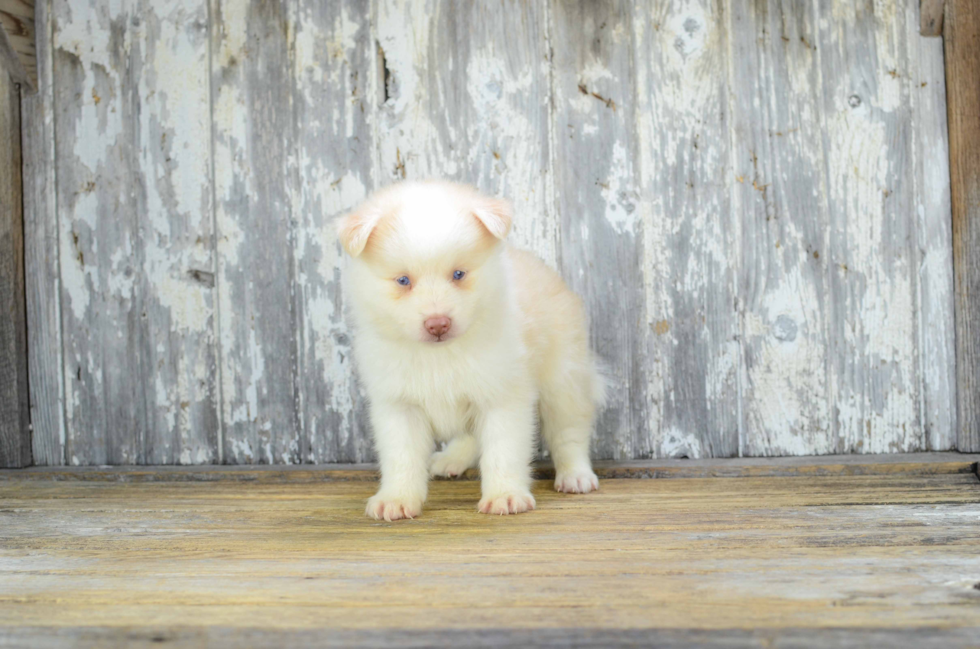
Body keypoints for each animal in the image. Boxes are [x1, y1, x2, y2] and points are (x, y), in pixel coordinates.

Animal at [338, 180, 604, 520]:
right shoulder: (398, 405)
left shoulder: (502, 397)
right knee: (470, 435)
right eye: (403, 280)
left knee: (569, 432)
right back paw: (452, 458)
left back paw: (576, 476)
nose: (438, 324)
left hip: (564, 379)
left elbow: (503, 451)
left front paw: (505, 496)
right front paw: (396, 498)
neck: (439, 355)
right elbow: (401, 458)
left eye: (458, 274)